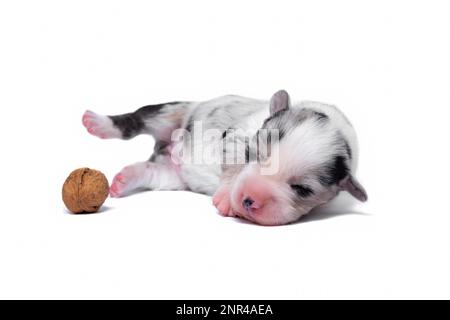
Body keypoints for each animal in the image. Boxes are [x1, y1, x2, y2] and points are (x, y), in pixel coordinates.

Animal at [82, 90, 368, 225]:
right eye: (251, 153)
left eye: (303, 189)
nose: (248, 199)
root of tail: (165, 147)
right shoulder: (234, 136)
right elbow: (232, 162)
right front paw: (227, 199)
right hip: (170, 110)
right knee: (133, 121)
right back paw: (97, 122)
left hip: (173, 177)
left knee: (151, 172)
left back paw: (124, 179)